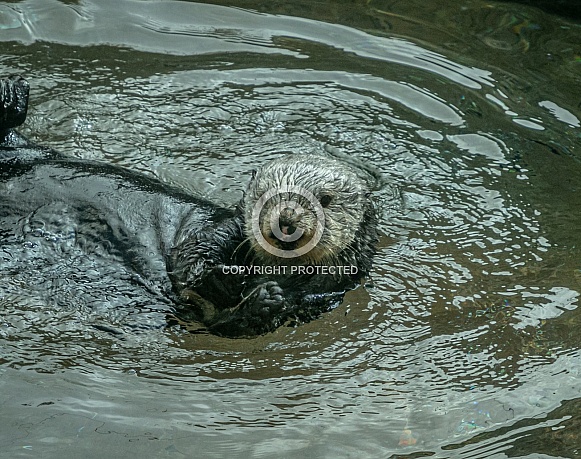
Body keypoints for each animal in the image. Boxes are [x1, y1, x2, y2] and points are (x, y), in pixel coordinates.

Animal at [0, 75, 376, 338]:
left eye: (325, 200)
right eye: (264, 194)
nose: (285, 219)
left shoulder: (319, 299)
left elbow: (231, 326)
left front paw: (265, 301)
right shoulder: (224, 228)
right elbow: (190, 254)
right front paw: (221, 275)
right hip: (25, 154)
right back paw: (11, 95)